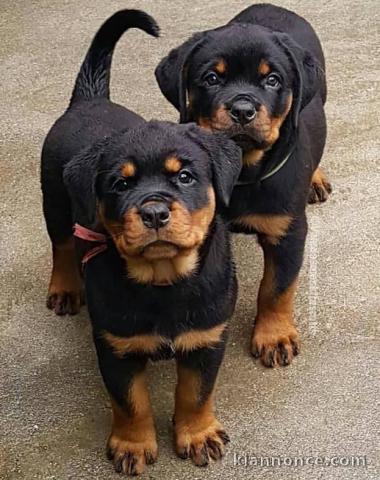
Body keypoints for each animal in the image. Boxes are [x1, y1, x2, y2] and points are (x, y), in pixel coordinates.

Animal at [154, 2, 332, 368]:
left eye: (272, 80)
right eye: (212, 78)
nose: (242, 109)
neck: (241, 170)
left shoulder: (287, 231)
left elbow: (277, 288)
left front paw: (274, 336)